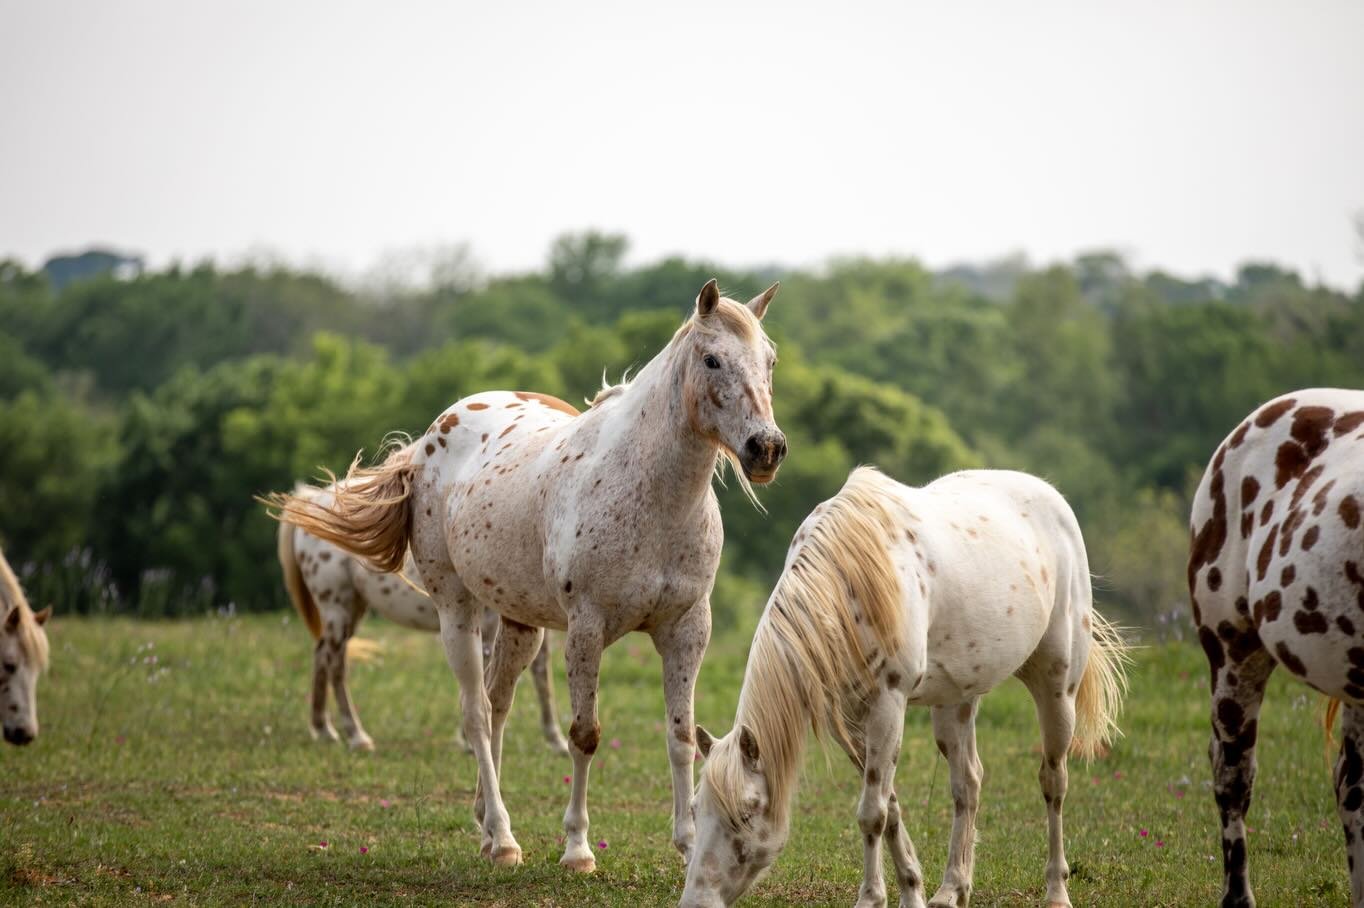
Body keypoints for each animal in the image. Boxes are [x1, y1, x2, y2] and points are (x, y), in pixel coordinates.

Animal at [276, 489, 570, 755]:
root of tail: (312, 499)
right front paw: (469, 741)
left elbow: (540, 673)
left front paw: (556, 740)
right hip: (338, 607)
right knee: (335, 663)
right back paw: (357, 736)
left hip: (351, 610)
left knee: (321, 654)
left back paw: (324, 729)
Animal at [683, 466, 1129, 908]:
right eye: (695, 808)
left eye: (745, 812)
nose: (696, 900)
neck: (848, 587)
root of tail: (1053, 498)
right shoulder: (852, 720)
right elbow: (890, 806)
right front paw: (912, 890)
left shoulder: (887, 704)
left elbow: (872, 813)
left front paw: (870, 898)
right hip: (956, 702)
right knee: (968, 784)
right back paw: (952, 890)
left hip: (1056, 688)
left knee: (1053, 782)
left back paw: (1056, 891)